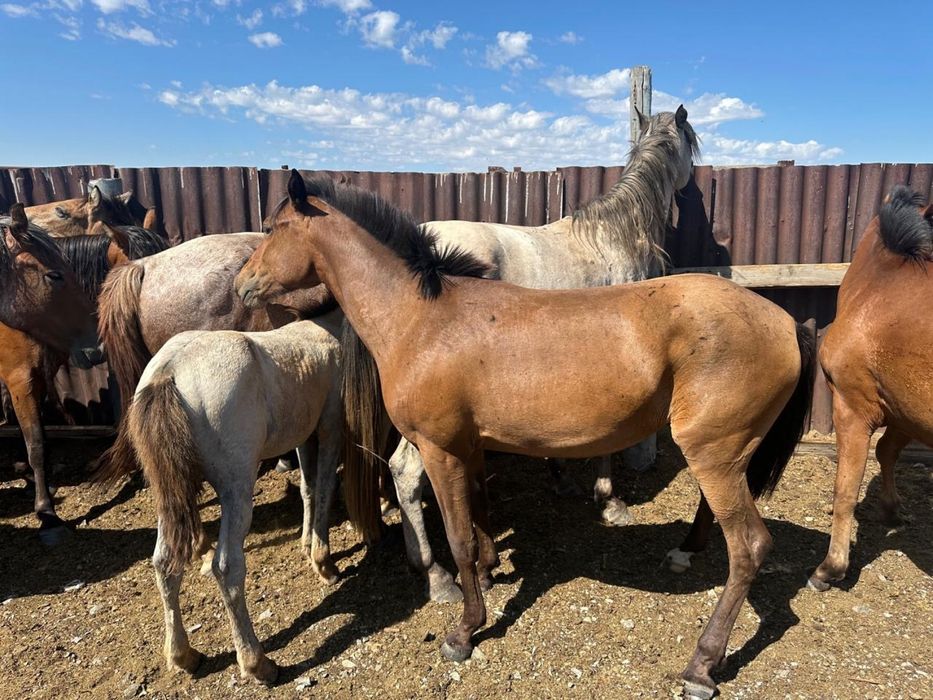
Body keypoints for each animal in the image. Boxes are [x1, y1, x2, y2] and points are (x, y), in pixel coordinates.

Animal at [126, 312, 342, 684]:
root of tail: (169, 372)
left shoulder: (303, 433)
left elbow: (309, 487)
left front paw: (306, 542)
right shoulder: (330, 427)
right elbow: (325, 486)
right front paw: (323, 561)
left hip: (170, 496)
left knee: (164, 563)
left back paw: (183, 655)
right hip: (236, 490)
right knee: (227, 568)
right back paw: (257, 661)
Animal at [234, 171, 816, 699]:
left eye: (275, 228)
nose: (242, 282)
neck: (422, 319)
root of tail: (786, 322)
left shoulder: (440, 450)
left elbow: (459, 536)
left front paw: (465, 629)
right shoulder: (469, 445)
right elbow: (479, 512)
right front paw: (490, 572)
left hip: (713, 454)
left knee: (749, 548)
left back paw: (701, 665)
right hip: (719, 451)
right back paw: (685, 552)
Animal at [809, 186, 933, 591]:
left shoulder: (853, 407)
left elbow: (845, 490)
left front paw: (830, 568)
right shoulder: (904, 412)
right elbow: (886, 452)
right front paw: (893, 511)